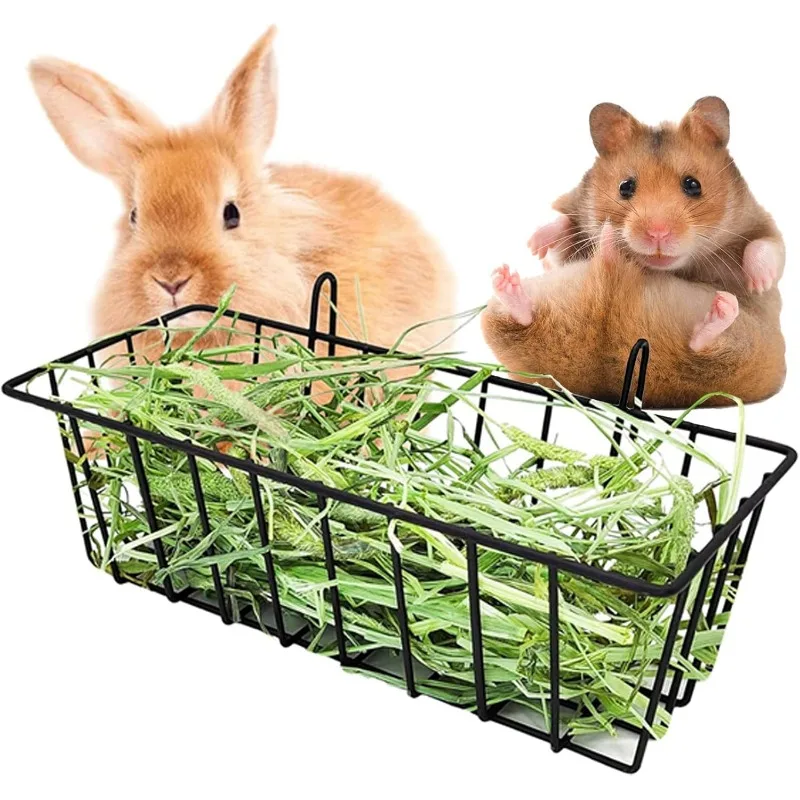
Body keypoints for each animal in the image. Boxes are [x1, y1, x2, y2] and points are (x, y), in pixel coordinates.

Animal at [528, 97, 785, 299]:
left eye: (693, 185)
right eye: (625, 187)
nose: (657, 234)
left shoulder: (759, 220)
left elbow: (766, 245)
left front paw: (759, 284)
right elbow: (560, 231)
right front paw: (533, 246)